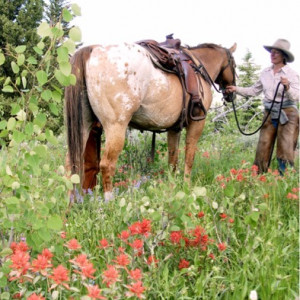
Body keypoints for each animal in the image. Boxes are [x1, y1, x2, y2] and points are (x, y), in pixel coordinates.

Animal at [65, 41, 237, 202]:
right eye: (234, 65)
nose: (231, 93)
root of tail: (92, 50)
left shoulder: (174, 129)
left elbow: (172, 160)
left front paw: (172, 187)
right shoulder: (197, 123)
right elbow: (189, 157)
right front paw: (186, 187)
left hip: (83, 127)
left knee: (71, 165)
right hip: (115, 127)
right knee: (106, 164)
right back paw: (109, 202)